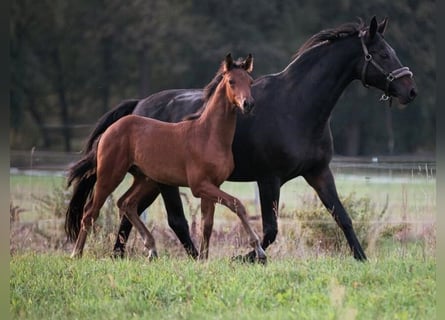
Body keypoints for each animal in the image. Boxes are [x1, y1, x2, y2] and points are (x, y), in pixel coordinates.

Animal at [64, 53, 266, 260]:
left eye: (250, 81)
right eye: (232, 81)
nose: (248, 104)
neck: (208, 135)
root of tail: (111, 129)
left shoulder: (212, 185)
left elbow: (207, 225)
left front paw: (203, 259)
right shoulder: (200, 186)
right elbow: (237, 204)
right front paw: (258, 248)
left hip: (145, 179)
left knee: (126, 203)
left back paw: (152, 248)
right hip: (110, 175)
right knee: (90, 212)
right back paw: (76, 254)